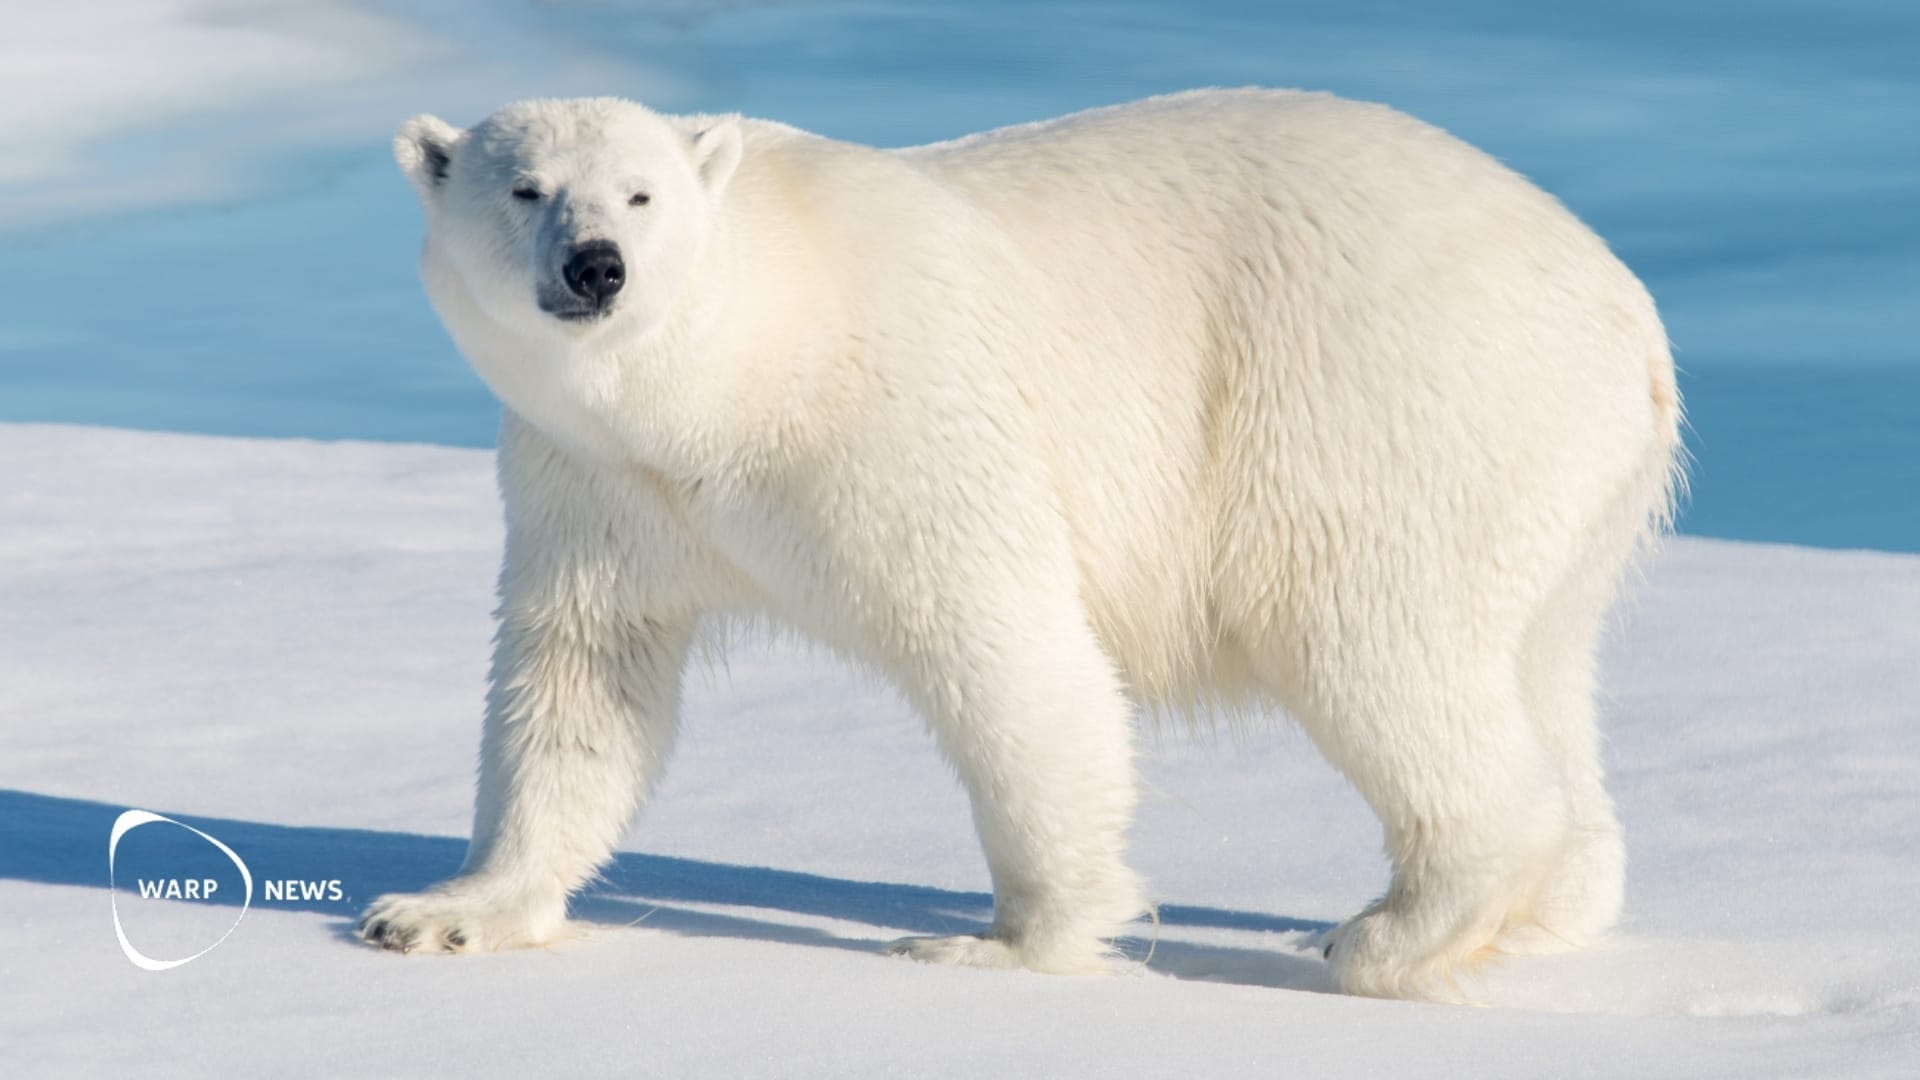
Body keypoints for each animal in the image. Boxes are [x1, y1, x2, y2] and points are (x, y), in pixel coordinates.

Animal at [357, 88, 1683, 1000]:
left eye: (641, 194)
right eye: (524, 188)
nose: (598, 268)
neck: (735, 372)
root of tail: (1629, 311)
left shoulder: (898, 416)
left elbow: (1005, 648)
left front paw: (999, 943)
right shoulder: (596, 482)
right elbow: (581, 679)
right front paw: (440, 912)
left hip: (1383, 404)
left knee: (1373, 642)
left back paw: (1389, 930)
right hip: (1560, 485)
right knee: (1538, 663)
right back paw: (1550, 908)